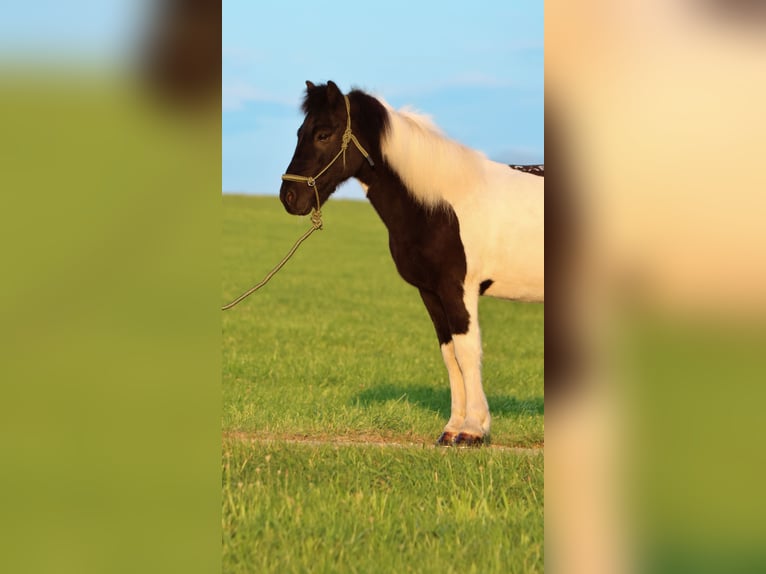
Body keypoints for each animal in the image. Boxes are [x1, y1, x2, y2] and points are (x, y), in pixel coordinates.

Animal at [280, 81, 544, 448]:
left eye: (323, 134)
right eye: (299, 132)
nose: (289, 198)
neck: (439, 204)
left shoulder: (458, 289)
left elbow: (467, 352)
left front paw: (473, 430)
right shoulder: (431, 293)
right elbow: (450, 355)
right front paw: (451, 430)